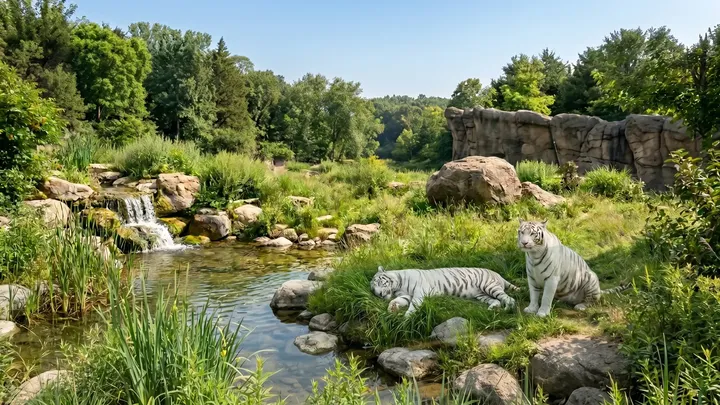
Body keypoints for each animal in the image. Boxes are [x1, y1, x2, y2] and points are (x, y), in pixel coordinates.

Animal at [370, 266, 519, 316]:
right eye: (372, 290)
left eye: (379, 282)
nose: (379, 294)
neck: (398, 286)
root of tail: (498, 274)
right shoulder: (407, 295)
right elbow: (398, 300)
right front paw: (391, 308)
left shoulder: (419, 293)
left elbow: (413, 305)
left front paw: (407, 316)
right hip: (481, 295)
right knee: (496, 300)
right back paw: (492, 308)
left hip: (488, 286)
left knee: (509, 298)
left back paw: (508, 309)